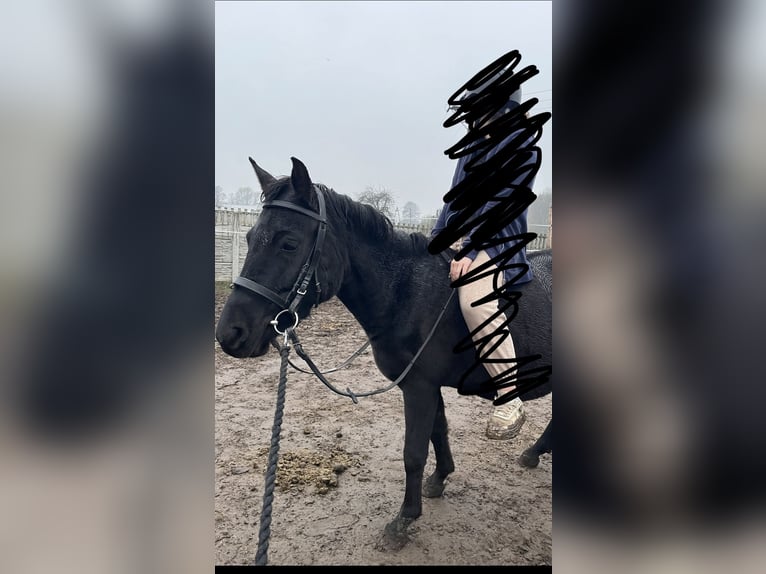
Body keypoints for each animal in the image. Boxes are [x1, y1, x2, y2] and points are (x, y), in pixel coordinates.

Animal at [215, 157, 552, 550]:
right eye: (250, 238)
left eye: (289, 244)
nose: (230, 334)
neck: (406, 293)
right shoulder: (427, 387)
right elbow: (438, 432)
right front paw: (439, 480)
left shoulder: (419, 388)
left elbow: (414, 452)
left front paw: (404, 519)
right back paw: (533, 453)